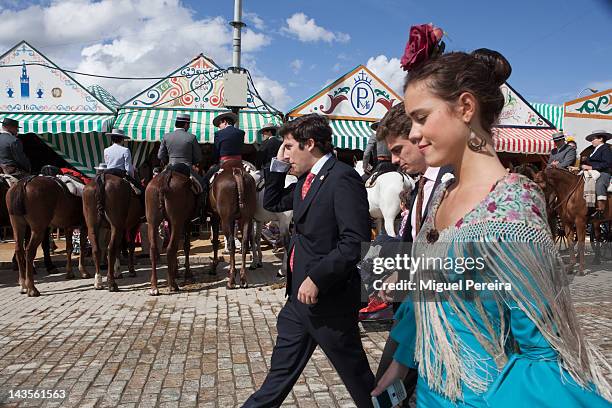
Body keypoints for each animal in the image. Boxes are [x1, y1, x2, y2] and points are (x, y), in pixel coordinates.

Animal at [145, 166, 195, 296]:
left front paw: (176, 271)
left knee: (153, 249)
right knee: (170, 248)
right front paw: (187, 272)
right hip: (178, 221)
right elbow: (186, 246)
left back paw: (154, 286)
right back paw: (172, 284)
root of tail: (163, 179)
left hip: (152, 222)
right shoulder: (187, 222)